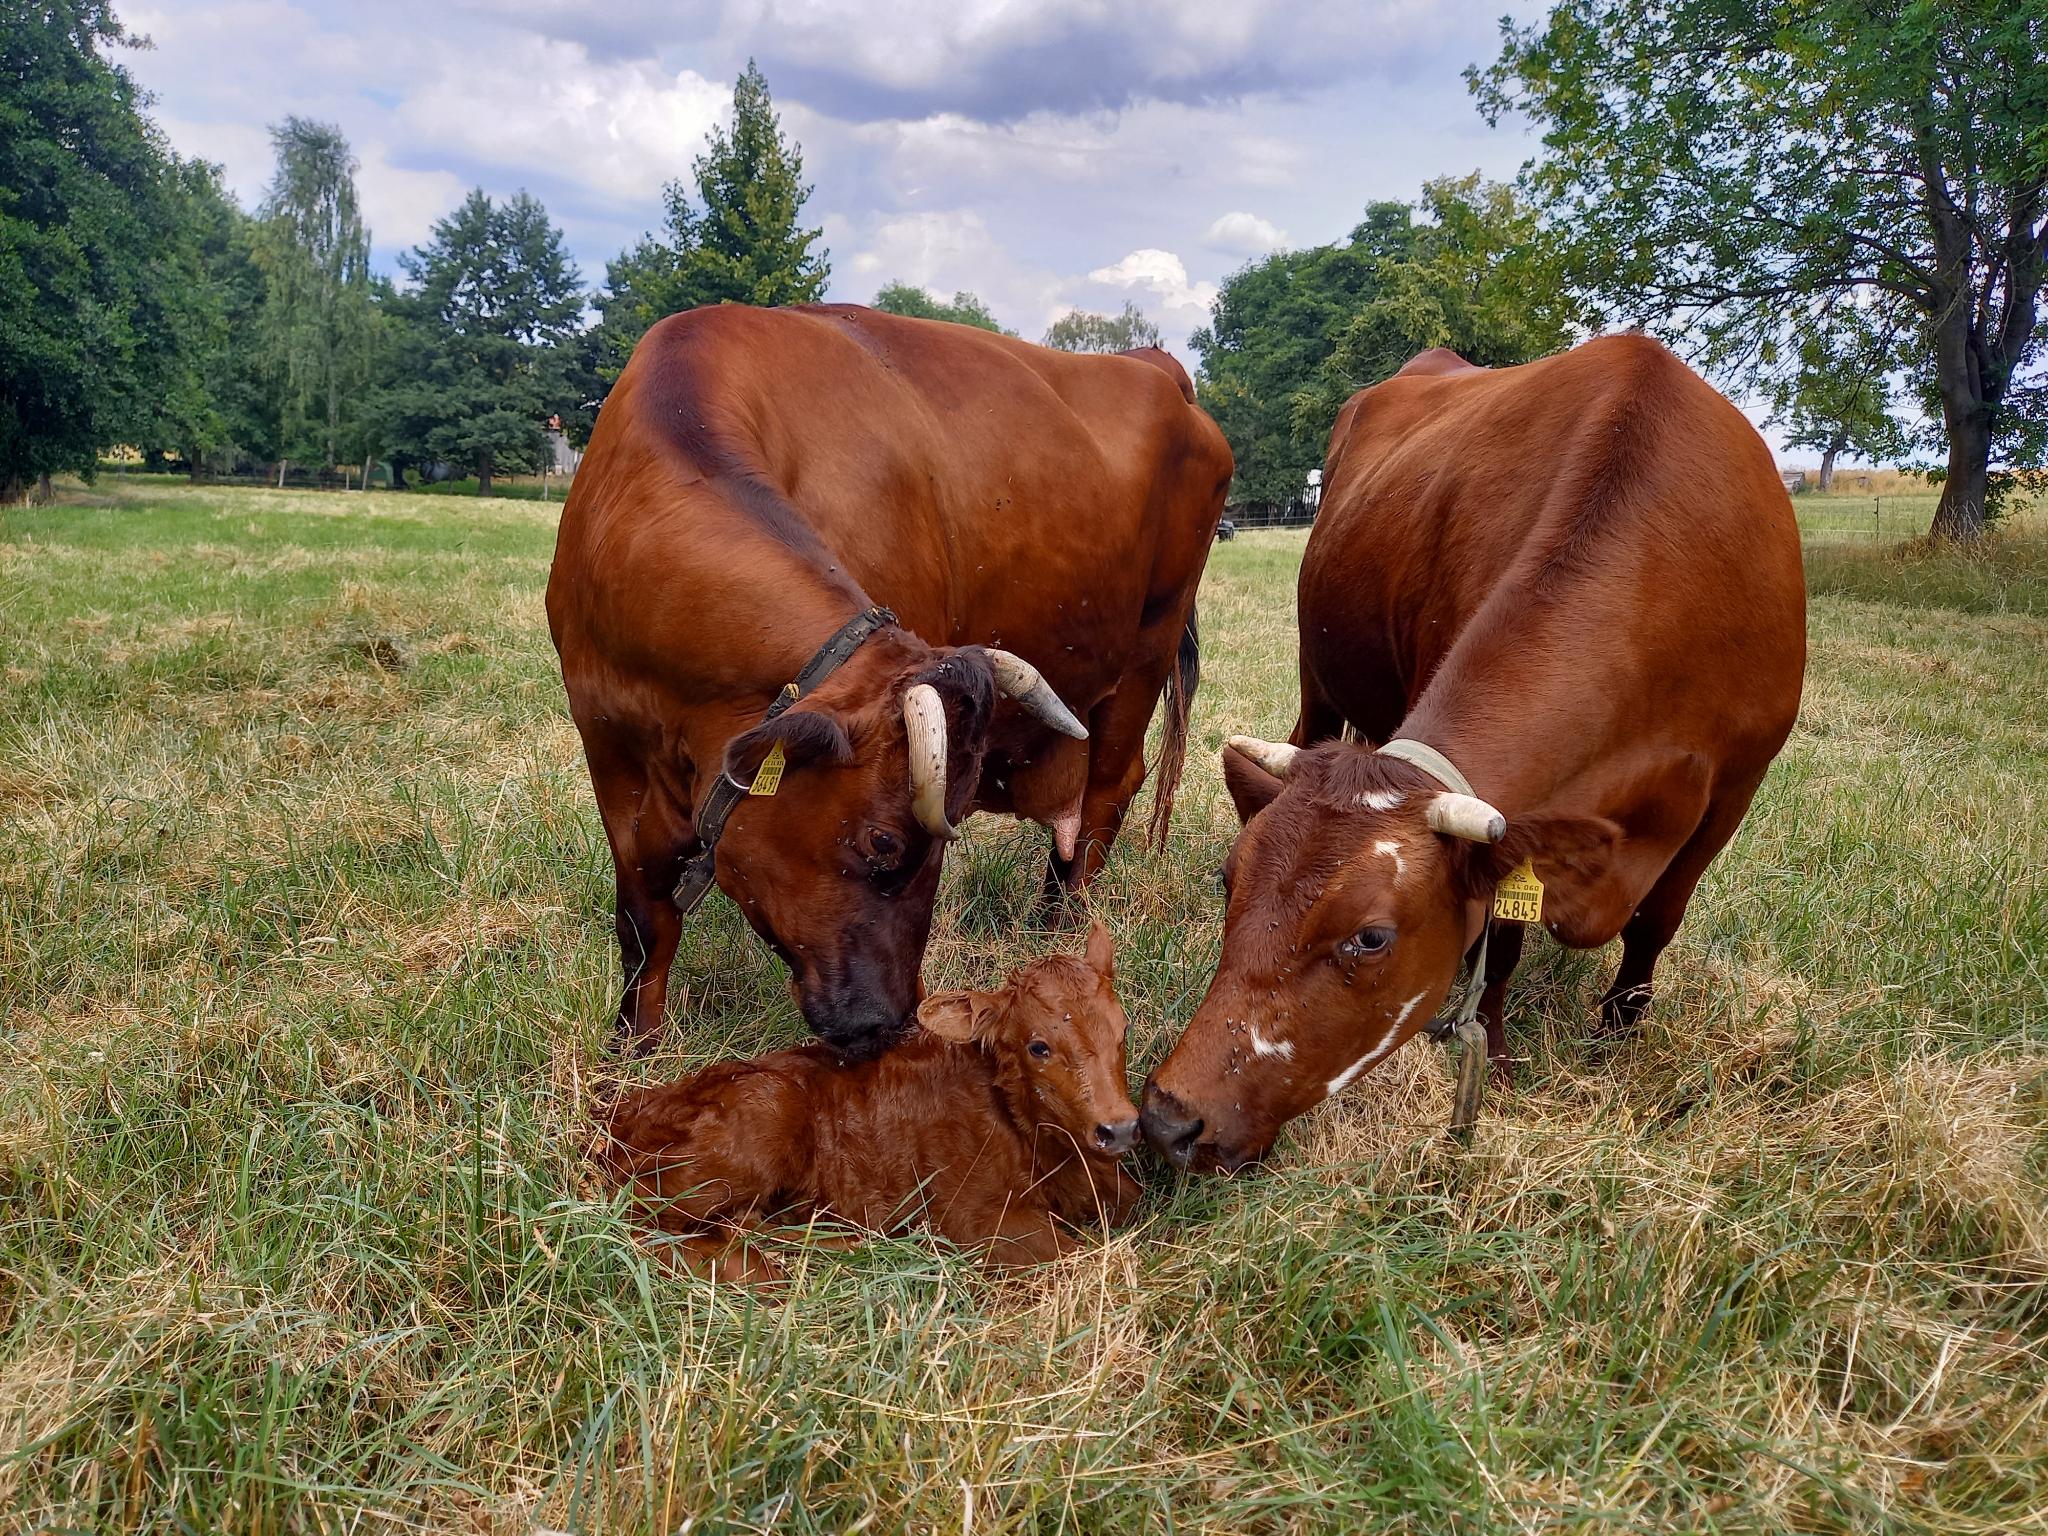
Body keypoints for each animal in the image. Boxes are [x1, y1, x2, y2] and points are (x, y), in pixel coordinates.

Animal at [547, 305, 1232, 1058]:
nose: (891, 1023)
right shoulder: (608, 748)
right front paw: (632, 1048)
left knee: (1110, 788)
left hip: (1148, 643)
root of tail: (1153, 365)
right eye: (883, 842)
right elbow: (644, 918)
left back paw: (1062, 926)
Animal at [597, 923, 1144, 1281]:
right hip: (750, 1129)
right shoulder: (978, 1220)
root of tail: (619, 1116)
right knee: (642, 1226)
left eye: (1122, 1030)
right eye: (1038, 1046)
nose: (1118, 1128)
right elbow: (1082, 1258)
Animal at [1141, 334, 1806, 1172]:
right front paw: (1495, 1050)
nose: (1169, 1116)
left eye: (1371, 936)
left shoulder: (1735, 787)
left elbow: (1657, 920)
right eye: (1229, 883)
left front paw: (1619, 1036)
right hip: (1318, 673)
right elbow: (1507, 934)